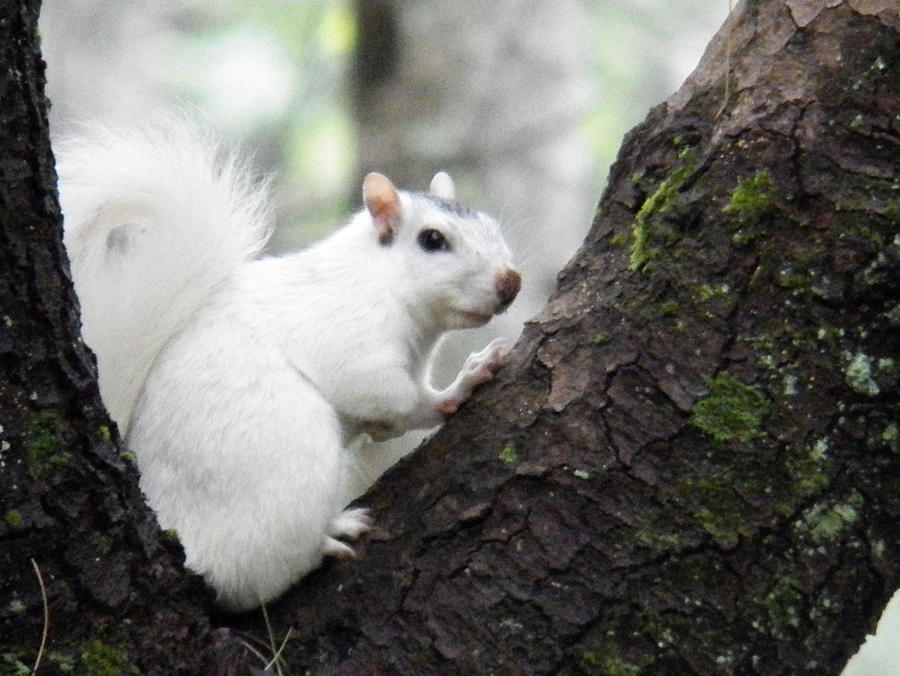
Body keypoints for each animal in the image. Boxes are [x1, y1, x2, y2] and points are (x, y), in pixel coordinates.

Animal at [58, 121, 520, 612]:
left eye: (490, 224)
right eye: (433, 240)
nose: (511, 282)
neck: (383, 280)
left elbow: (408, 408)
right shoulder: (353, 340)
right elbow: (393, 398)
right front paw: (441, 396)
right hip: (289, 464)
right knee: (251, 579)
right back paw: (329, 538)